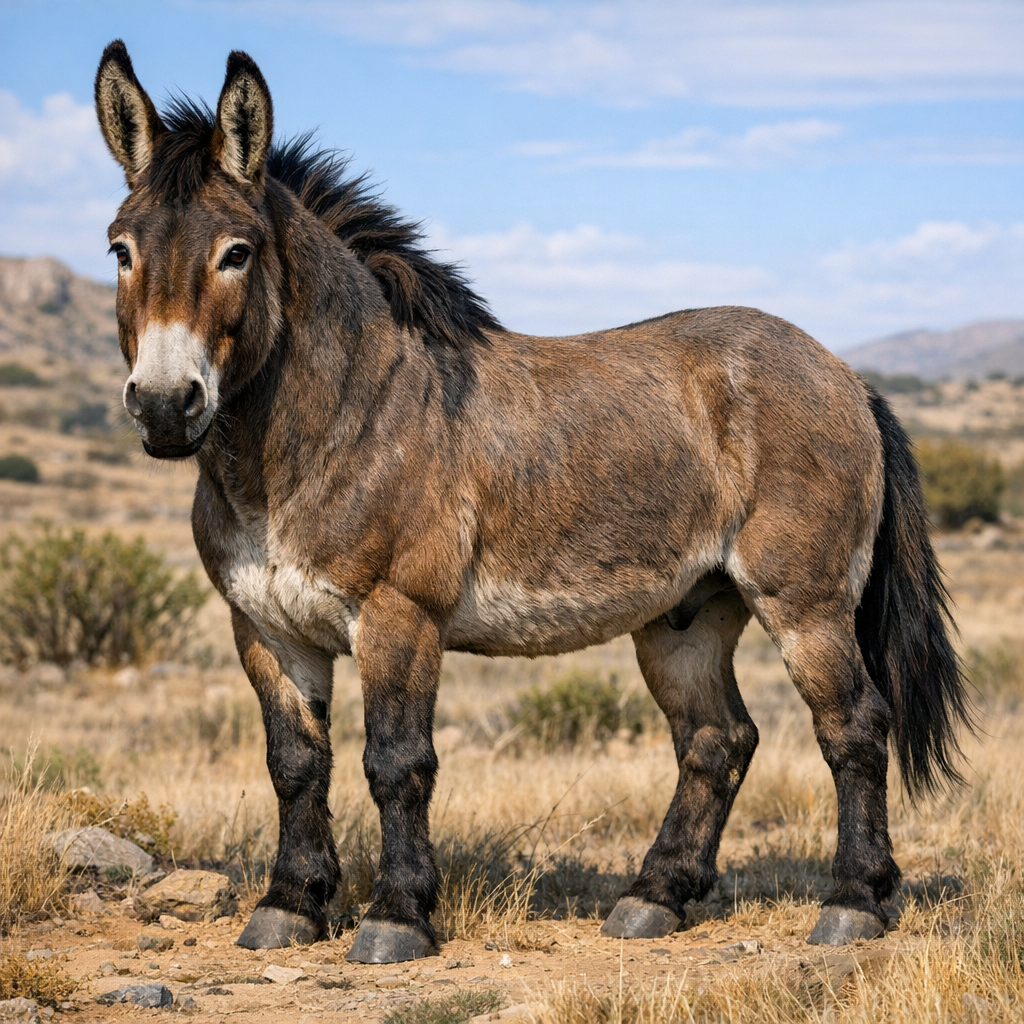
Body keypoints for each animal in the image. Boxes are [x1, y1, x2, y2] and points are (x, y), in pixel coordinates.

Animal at [95, 41, 971, 964]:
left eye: (237, 252)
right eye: (120, 251)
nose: (165, 406)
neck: (333, 426)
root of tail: (843, 372)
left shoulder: (399, 617)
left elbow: (396, 762)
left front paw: (396, 916)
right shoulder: (265, 629)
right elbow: (295, 764)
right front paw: (290, 905)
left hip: (805, 605)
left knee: (854, 728)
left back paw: (853, 904)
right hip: (687, 617)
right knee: (717, 740)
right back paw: (653, 898)